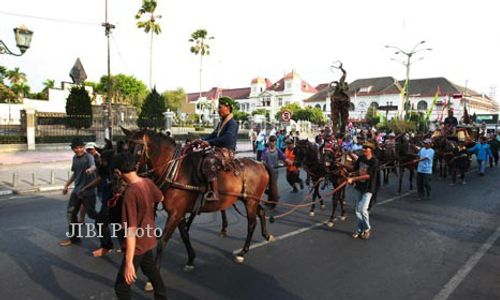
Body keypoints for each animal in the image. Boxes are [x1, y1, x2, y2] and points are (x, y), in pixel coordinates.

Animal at [121, 129, 278, 270]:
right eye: (124, 149)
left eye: (137, 151)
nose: (124, 177)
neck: (174, 170)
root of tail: (260, 163)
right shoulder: (179, 213)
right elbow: (184, 235)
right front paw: (191, 258)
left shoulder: (175, 213)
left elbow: (163, 241)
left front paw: (154, 273)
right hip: (249, 199)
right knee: (261, 212)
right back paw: (266, 235)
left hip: (251, 201)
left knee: (251, 223)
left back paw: (243, 252)